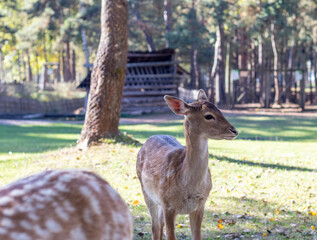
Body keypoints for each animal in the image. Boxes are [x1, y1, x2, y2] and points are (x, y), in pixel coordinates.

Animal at [136, 89, 237, 239]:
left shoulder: (200, 205)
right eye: (208, 116)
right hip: (147, 193)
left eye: (220, 110)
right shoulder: (168, 205)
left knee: (159, 224)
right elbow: (170, 236)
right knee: (155, 226)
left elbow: (197, 236)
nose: (234, 130)